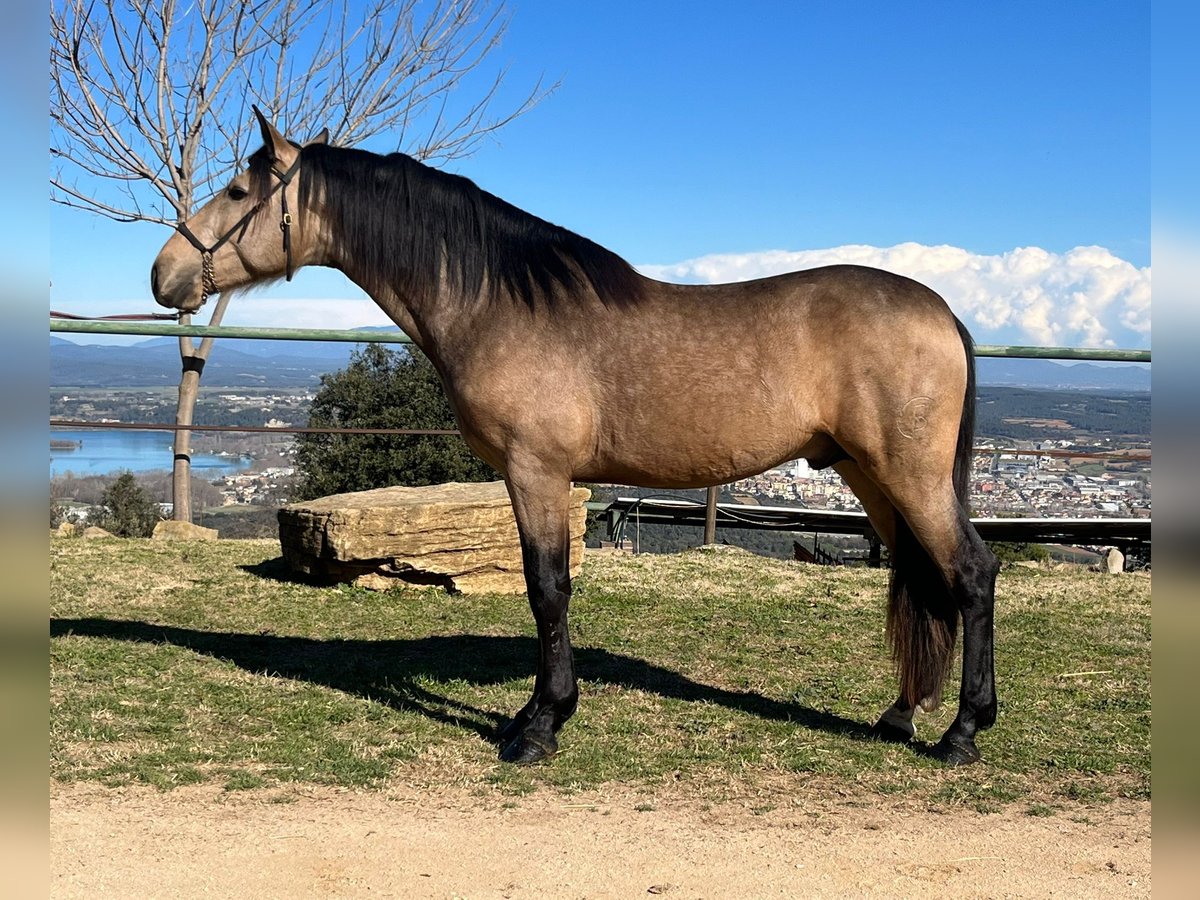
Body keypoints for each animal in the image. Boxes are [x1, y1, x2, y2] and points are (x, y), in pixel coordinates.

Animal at [154, 107, 1008, 768]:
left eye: (238, 190)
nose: (163, 275)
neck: (499, 304)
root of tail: (942, 310)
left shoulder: (536, 473)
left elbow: (548, 589)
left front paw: (540, 725)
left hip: (908, 473)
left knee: (970, 573)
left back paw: (963, 733)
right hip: (870, 474)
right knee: (923, 576)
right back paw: (901, 714)